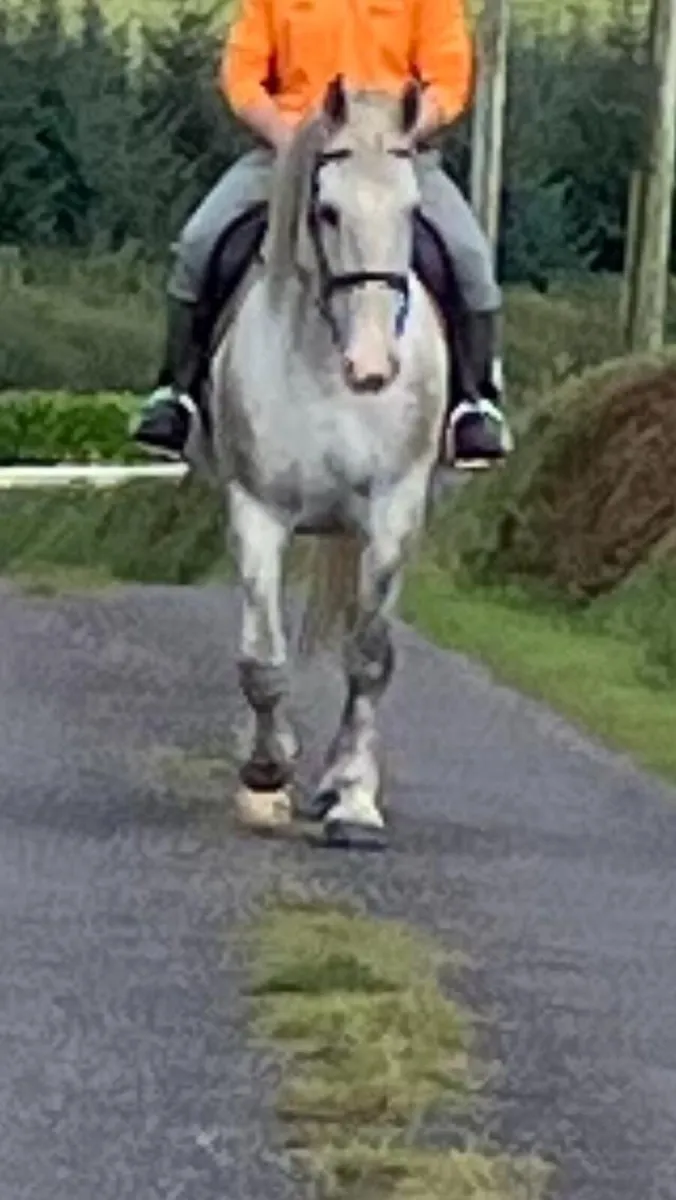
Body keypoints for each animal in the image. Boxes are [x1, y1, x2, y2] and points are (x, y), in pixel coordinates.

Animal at [200, 76, 449, 851]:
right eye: (328, 210)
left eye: (412, 210)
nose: (373, 367)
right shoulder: (257, 511)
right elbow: (263, 662)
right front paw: (265, 770)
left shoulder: (395, 512)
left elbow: (368, 658)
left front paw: (356, 803)